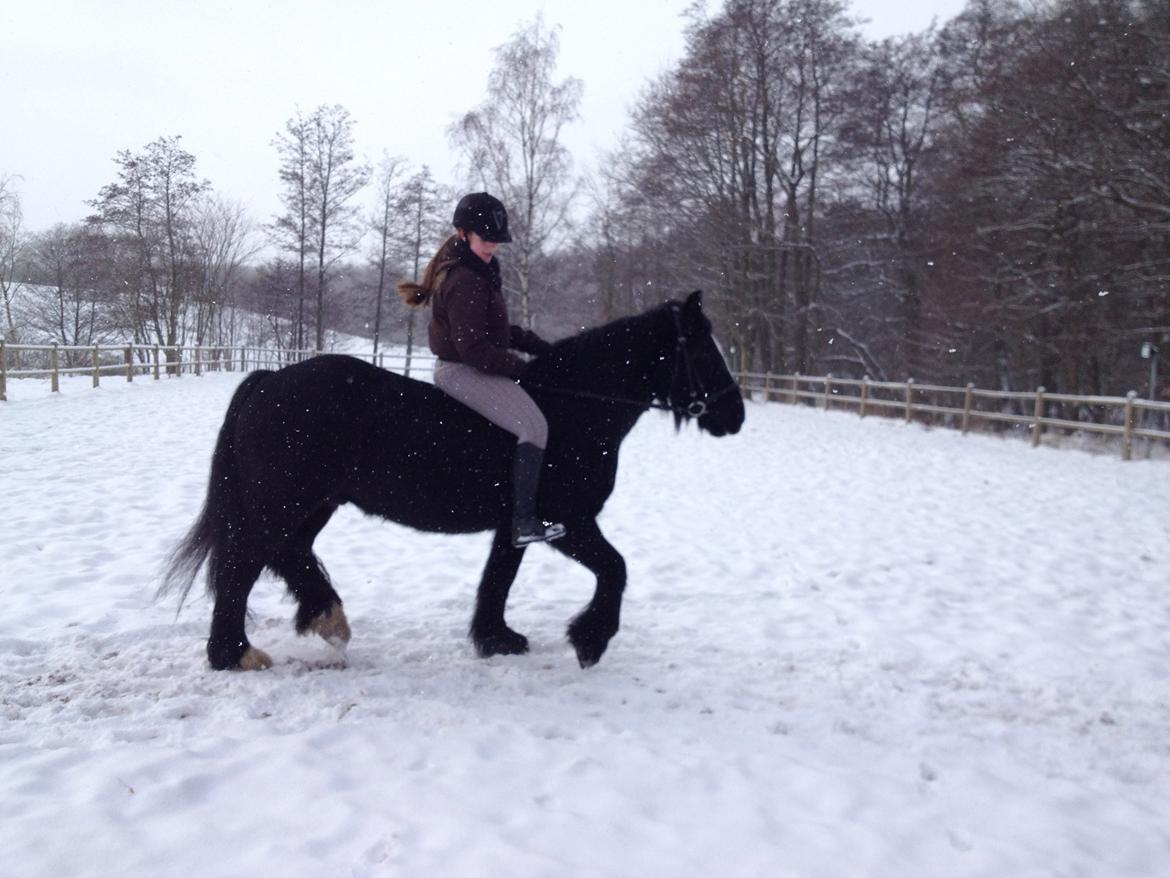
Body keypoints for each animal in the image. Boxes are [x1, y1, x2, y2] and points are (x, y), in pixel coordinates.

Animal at [163, 292, 744, 669]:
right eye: (702, 349)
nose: (735, 416)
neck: (575, 407)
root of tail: (269, 381)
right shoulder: (568, 522)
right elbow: (616, 569)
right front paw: (589, 641)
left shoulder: (516, 526)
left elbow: (498, 580)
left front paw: (496, 639)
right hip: (284, 502)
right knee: (245, 564)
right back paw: (245, 650)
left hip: (313, 503)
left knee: (281, 556)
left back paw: (311, 623)